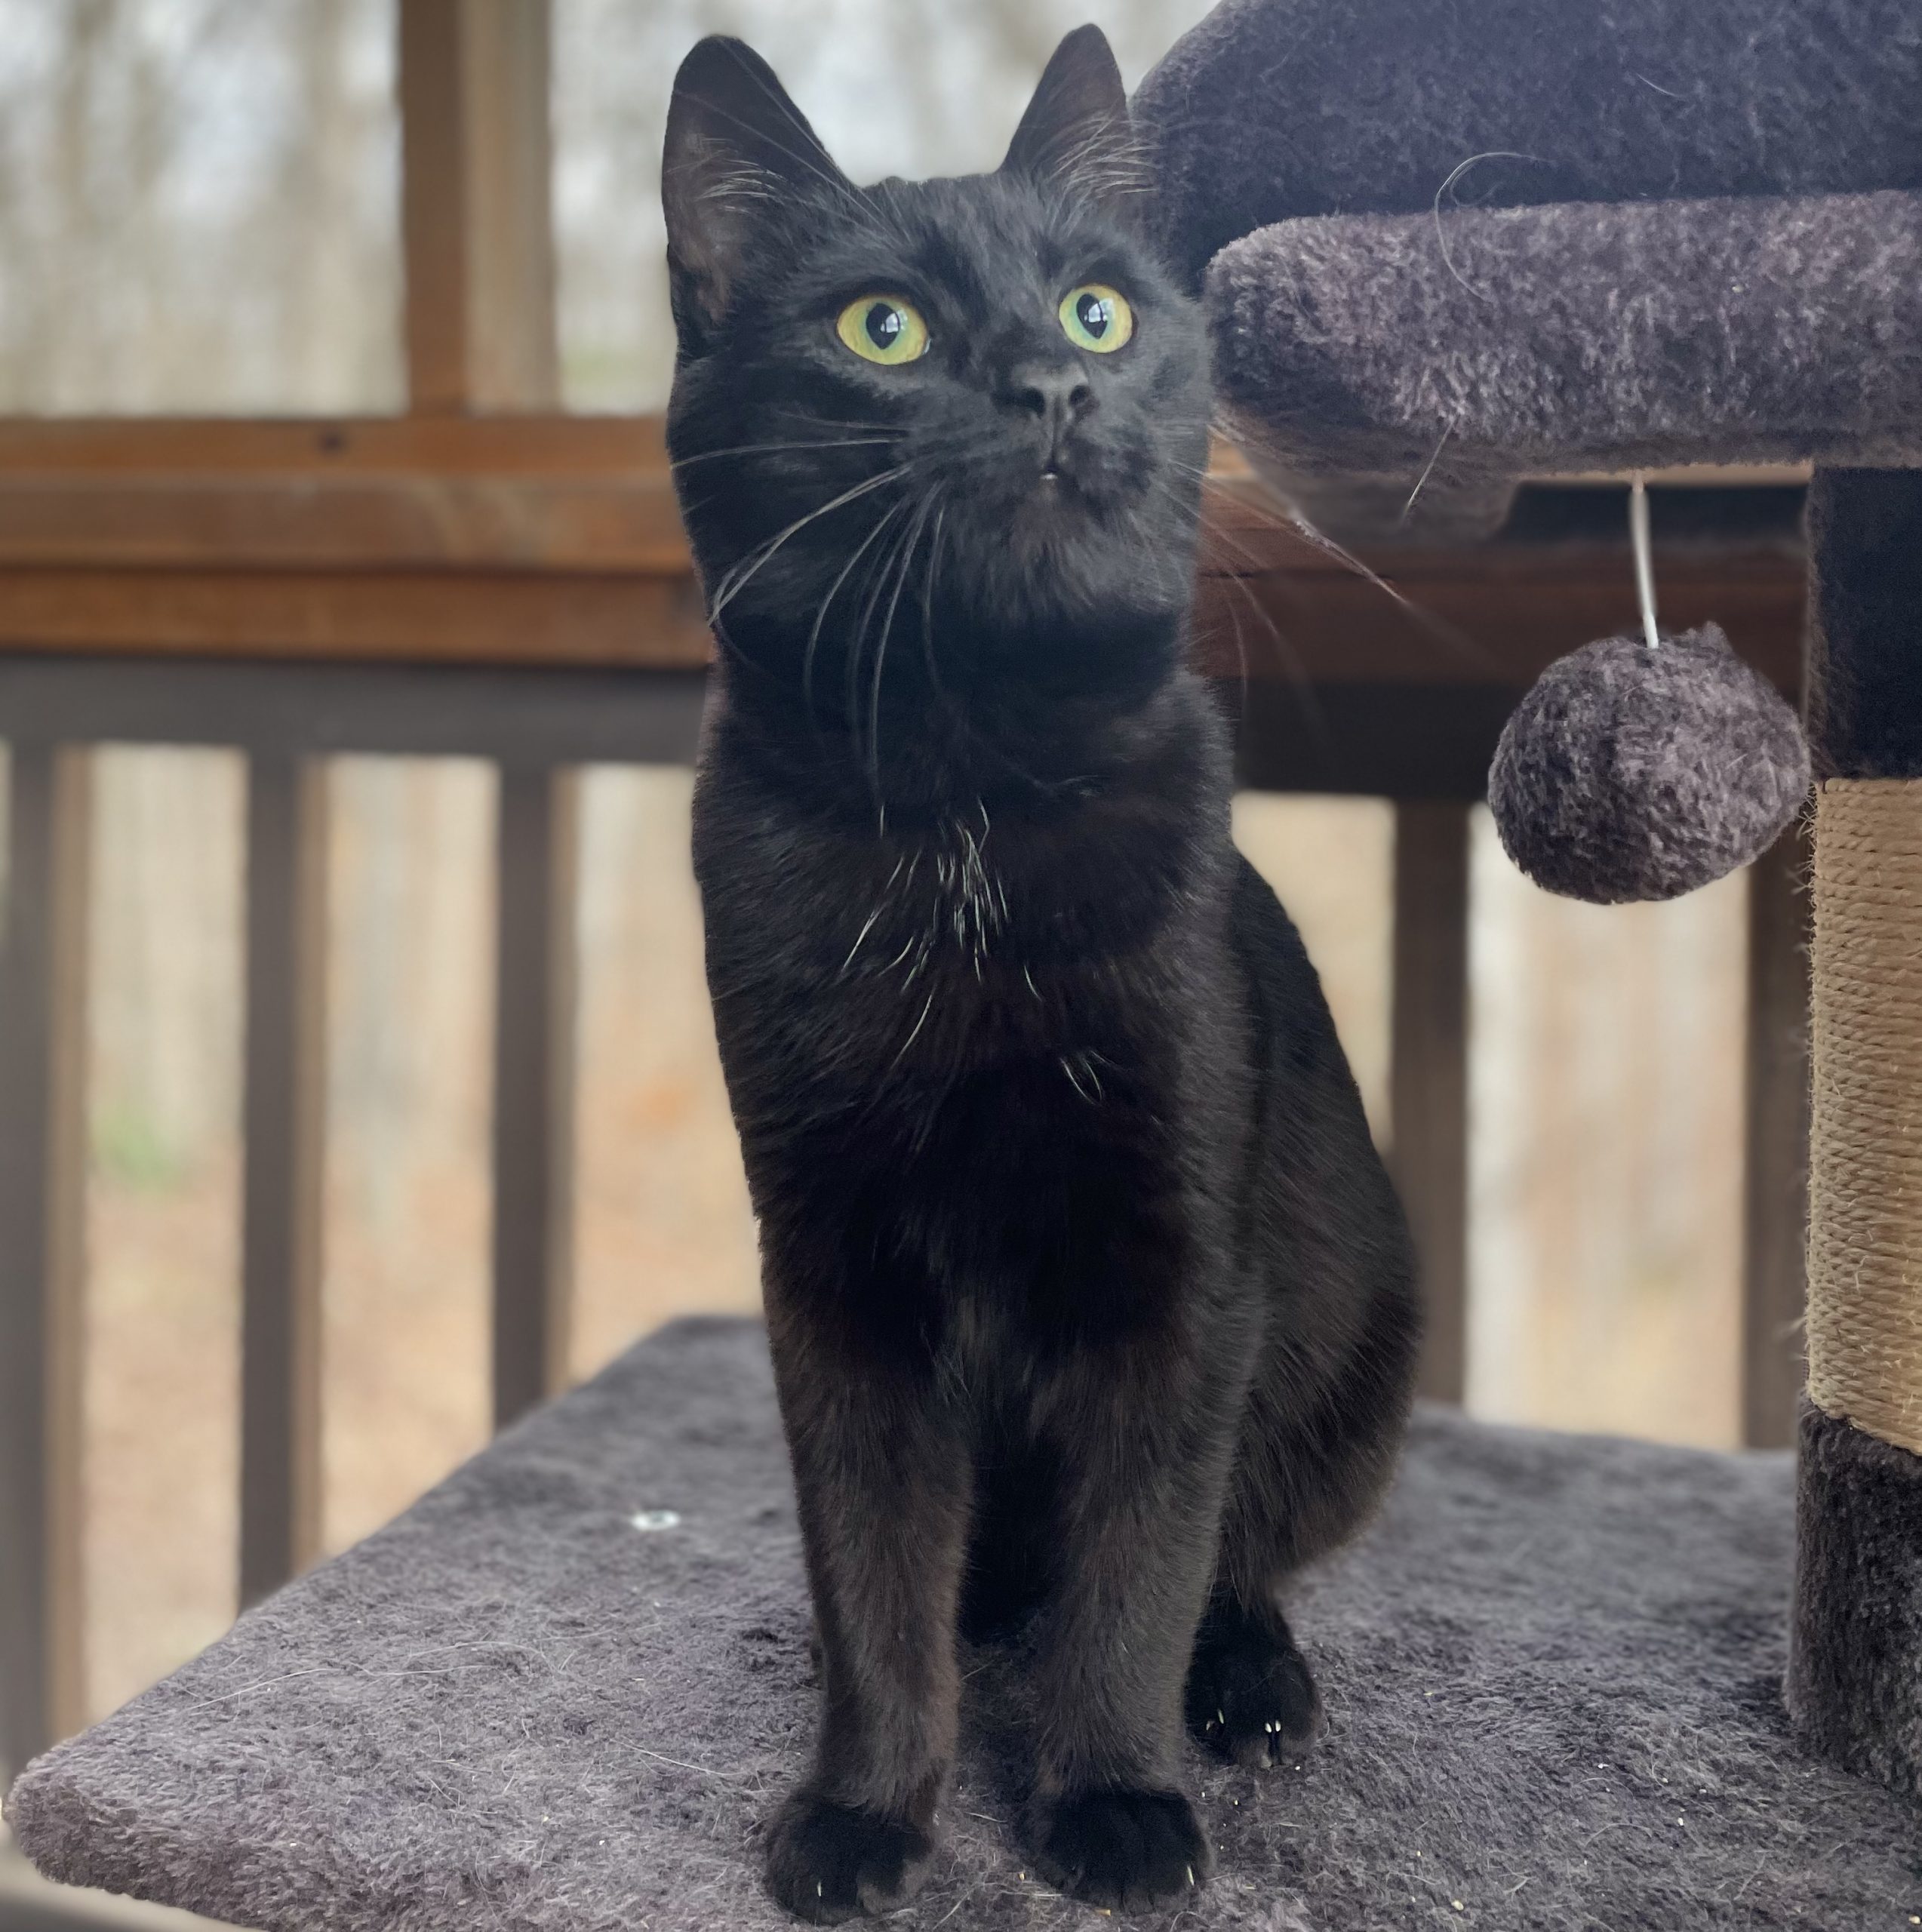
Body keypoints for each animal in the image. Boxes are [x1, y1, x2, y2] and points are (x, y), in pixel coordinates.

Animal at [662, 25, 1421, 1921]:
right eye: (882, 328)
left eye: (1097, 311)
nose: (1050, 387)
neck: (968, 804)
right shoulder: (830, 1261)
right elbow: (872, 1564)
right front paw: (861, 1808)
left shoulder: (1177, 1265)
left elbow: (1136, 1567)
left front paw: (1110, 1800)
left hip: (1359, 1354)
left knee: (1237, 1551)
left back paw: (1246, 1683)